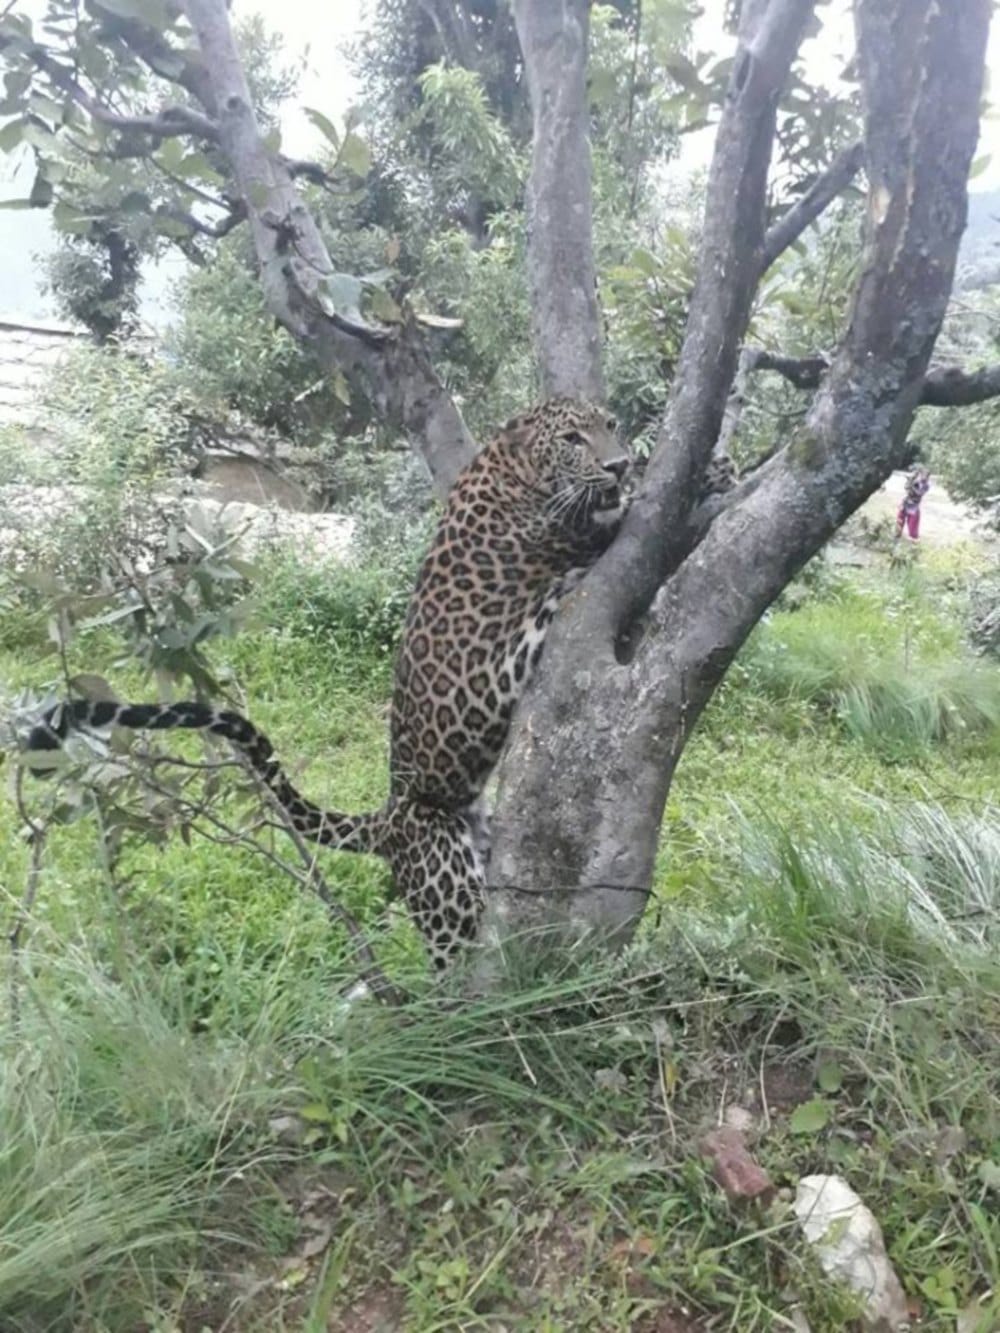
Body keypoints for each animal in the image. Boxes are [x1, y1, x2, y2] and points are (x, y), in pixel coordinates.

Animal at [26, 398, 631, 970]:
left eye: (610, 424)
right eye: (572, 438)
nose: (620, 464)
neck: (509, 466)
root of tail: (387, 818)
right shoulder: (564, 534)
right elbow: (601, 524)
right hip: (446, 882)